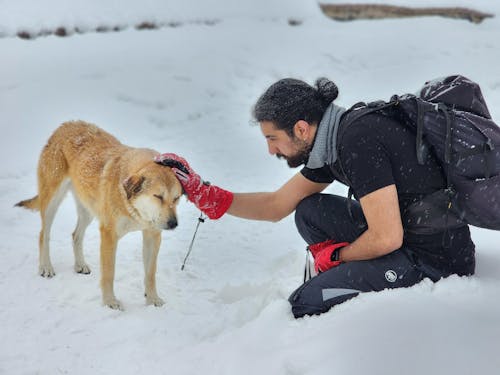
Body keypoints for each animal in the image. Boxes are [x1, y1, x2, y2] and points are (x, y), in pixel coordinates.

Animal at [15, 121, 184, 312]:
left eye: (176, 198)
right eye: (158, 196)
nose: (173, 224)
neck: (131, 208)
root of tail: (64, 125)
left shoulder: (152, 236)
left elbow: (150, 273)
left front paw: (153, 300)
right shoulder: (109, 235)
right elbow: (109, 273)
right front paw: (110, 302)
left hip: (88, 211)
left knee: (75, 235)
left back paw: (80, 265)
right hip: (53, 202)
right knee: (43, 234)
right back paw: (45, 267)